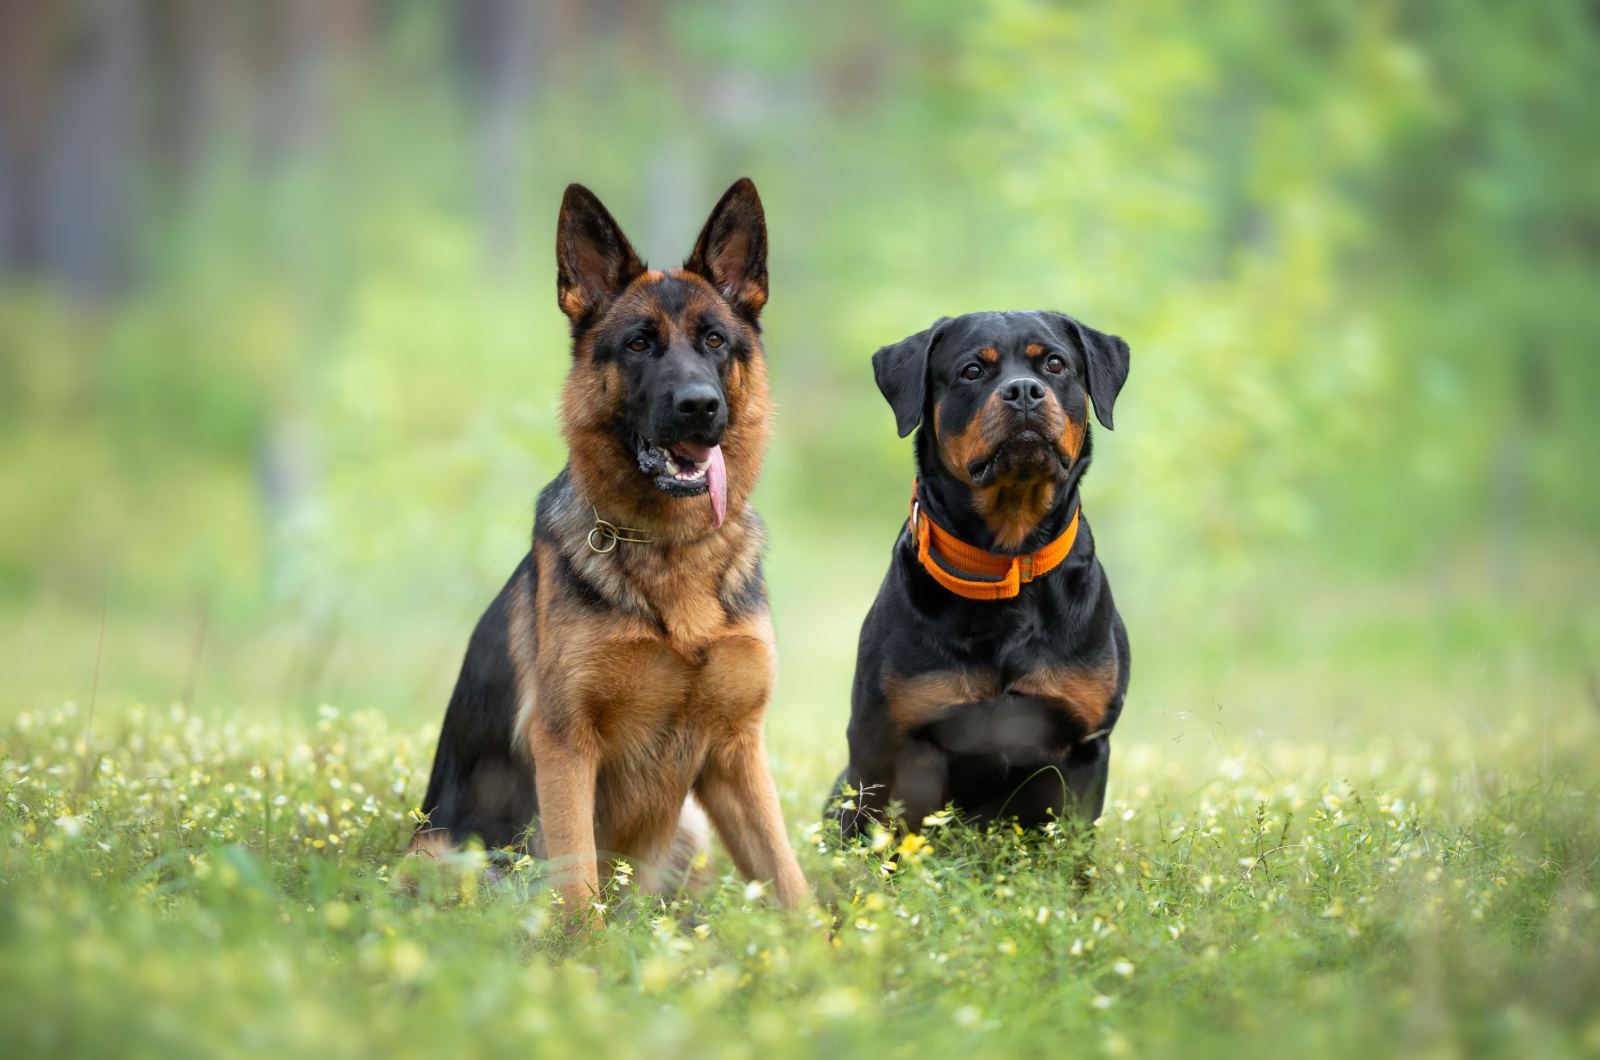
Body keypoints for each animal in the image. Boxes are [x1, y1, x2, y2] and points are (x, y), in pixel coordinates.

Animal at [412, 178, 806, 915]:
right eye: (639, 344)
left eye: (715, 340)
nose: (699, 405)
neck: (670, 548)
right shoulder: (565, 747)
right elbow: (576, 887)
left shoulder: (737, 753)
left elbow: (790, 881)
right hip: (445, 858)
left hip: (691, 832)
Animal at [832, 312, 1132, 845]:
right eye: (972, 370)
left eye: (1055, 364)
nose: (1024, 390)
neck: (1006, 564)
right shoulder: (879, 742)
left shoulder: (1086, 746)